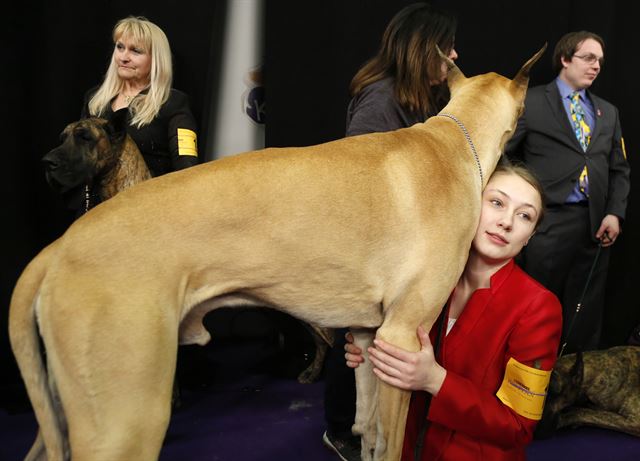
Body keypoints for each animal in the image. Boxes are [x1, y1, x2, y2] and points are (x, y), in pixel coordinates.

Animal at [8, 47, 540, 460]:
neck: (455, 140)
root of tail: (60, 247)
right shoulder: (403, 341)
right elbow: (391, 444)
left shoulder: (370, 337)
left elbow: (368, 431)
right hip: (127, 420)